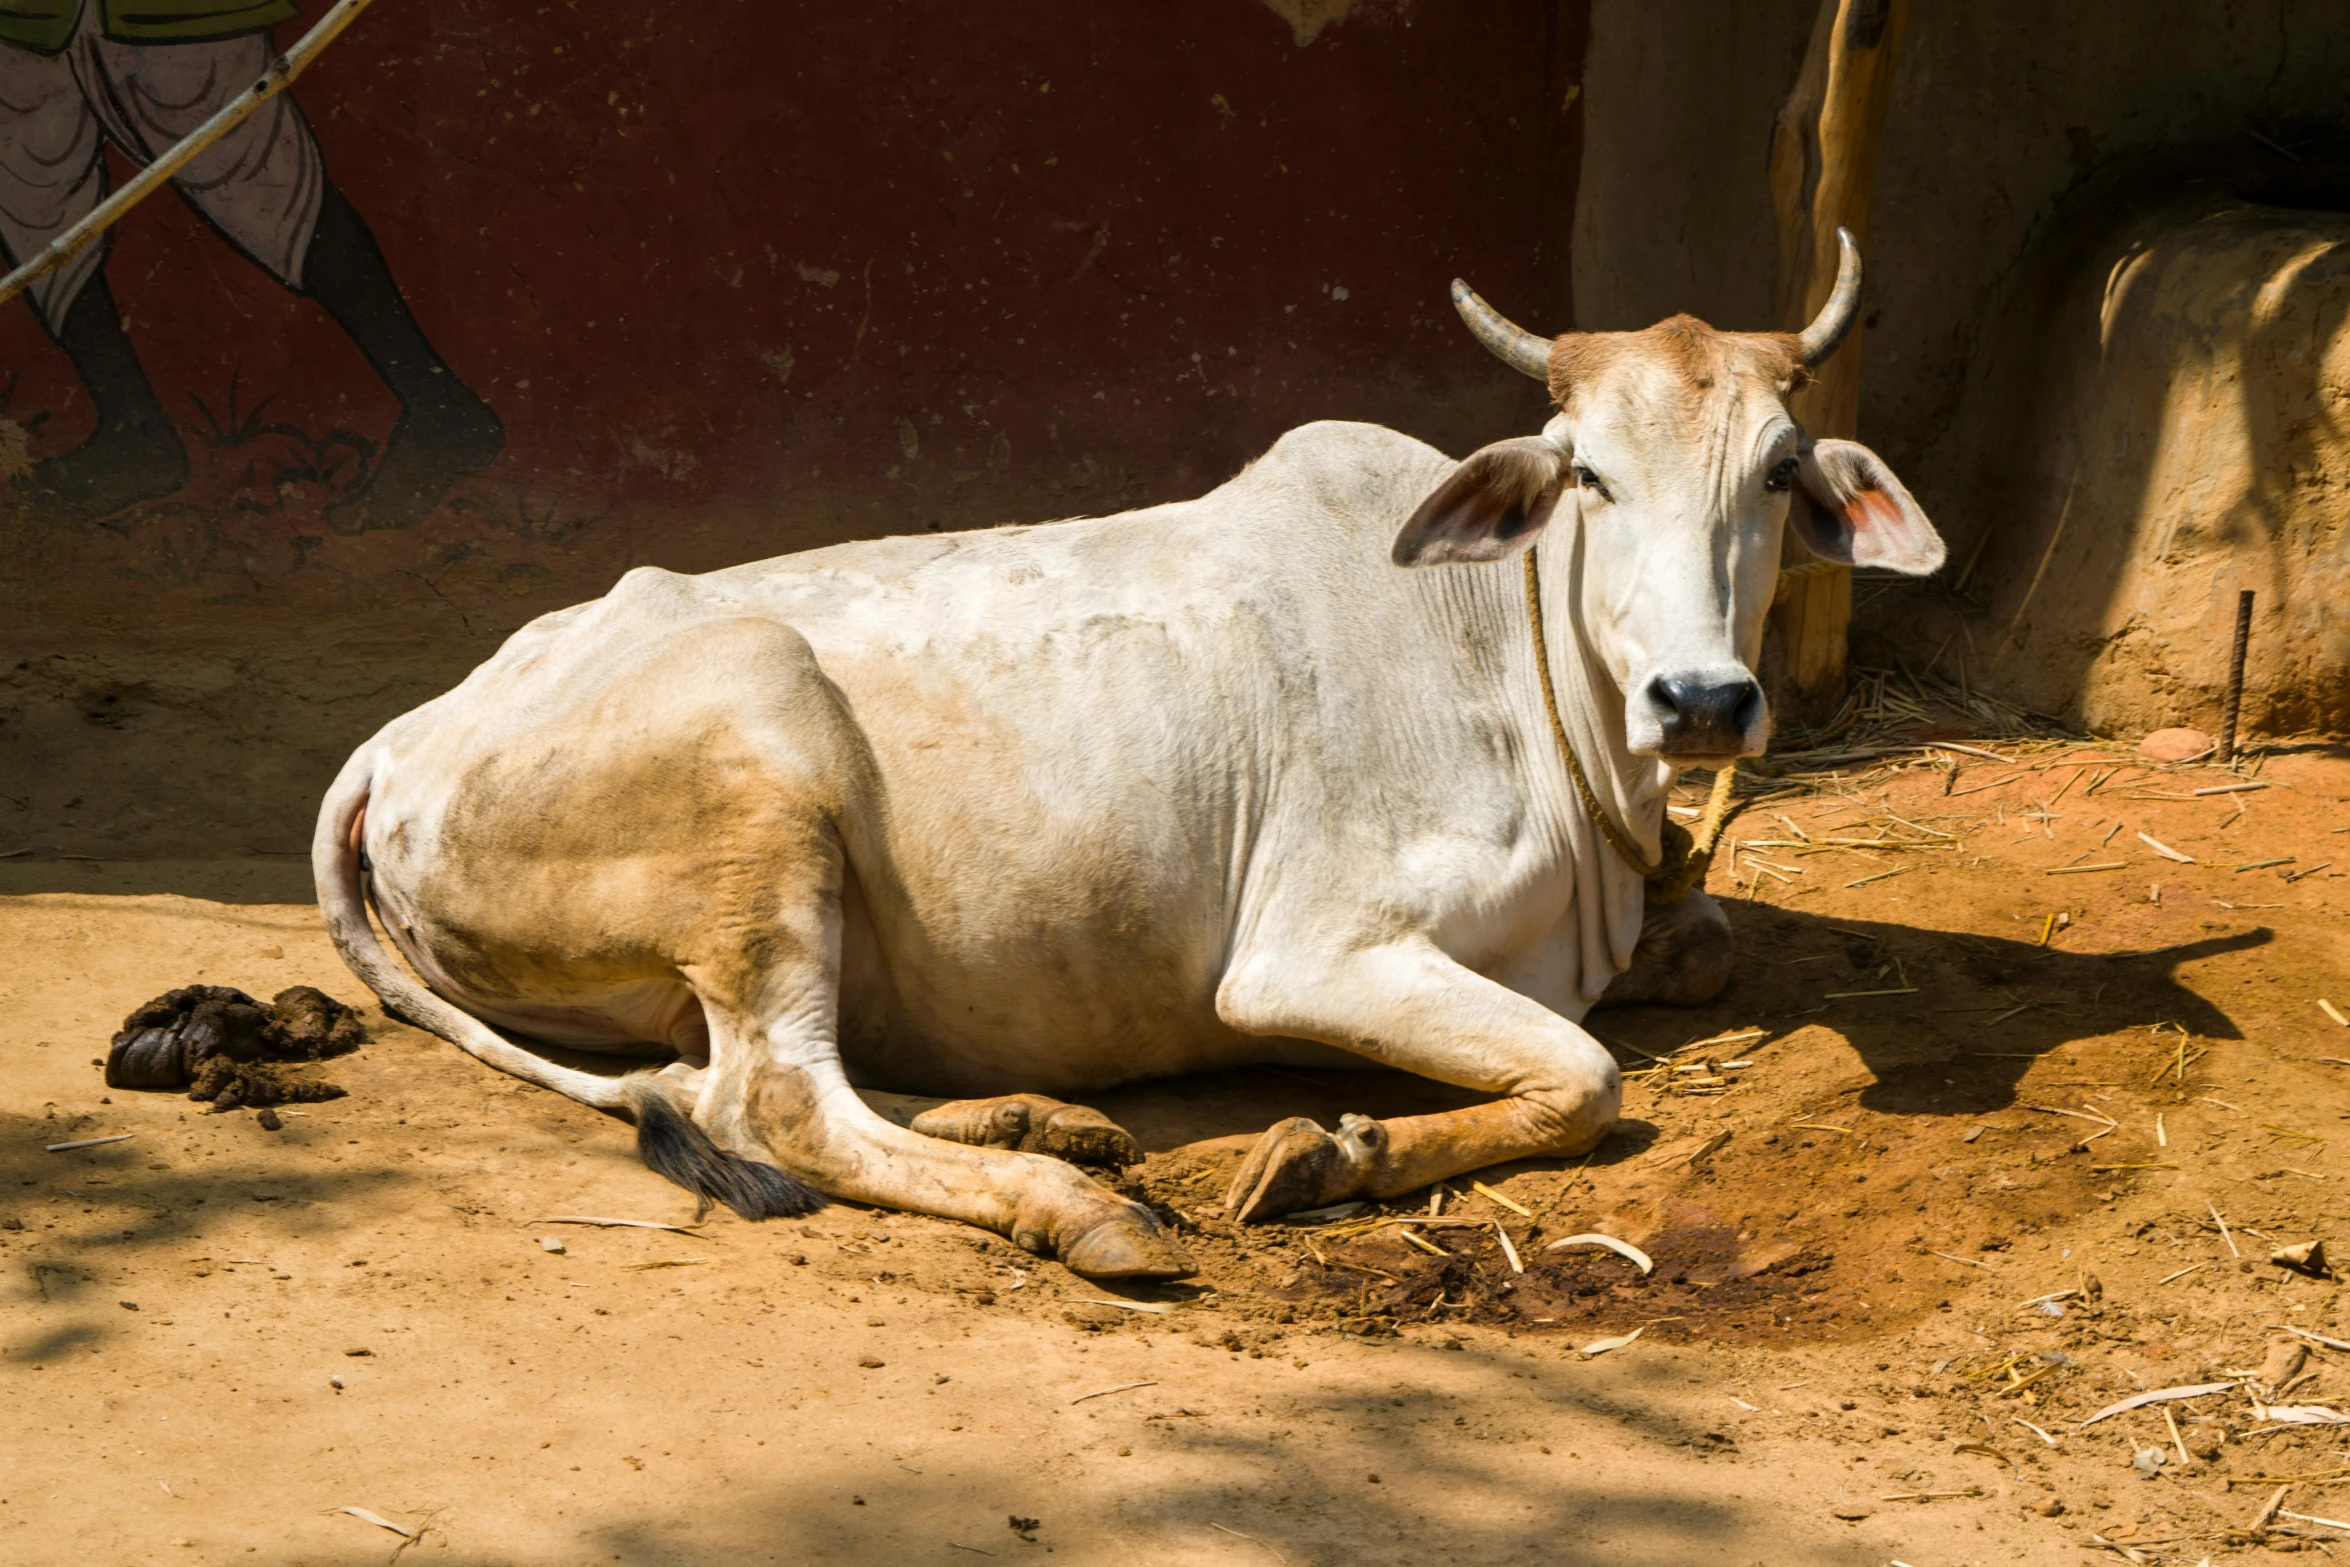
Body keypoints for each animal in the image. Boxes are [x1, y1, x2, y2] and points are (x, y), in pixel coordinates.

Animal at [312, 239, 1945, 1278]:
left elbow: (1705, 948)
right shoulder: (1306, 955)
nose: (1701, 700)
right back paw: (1068, 1198)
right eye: (1589, 474)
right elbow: (1588, 1074)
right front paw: (1326, 1151)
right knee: (770, 1100)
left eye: (1779, 470)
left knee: (732, 1076)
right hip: (763, 755)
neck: (1511, 656)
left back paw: (1040, 1118)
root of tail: (407, 732)